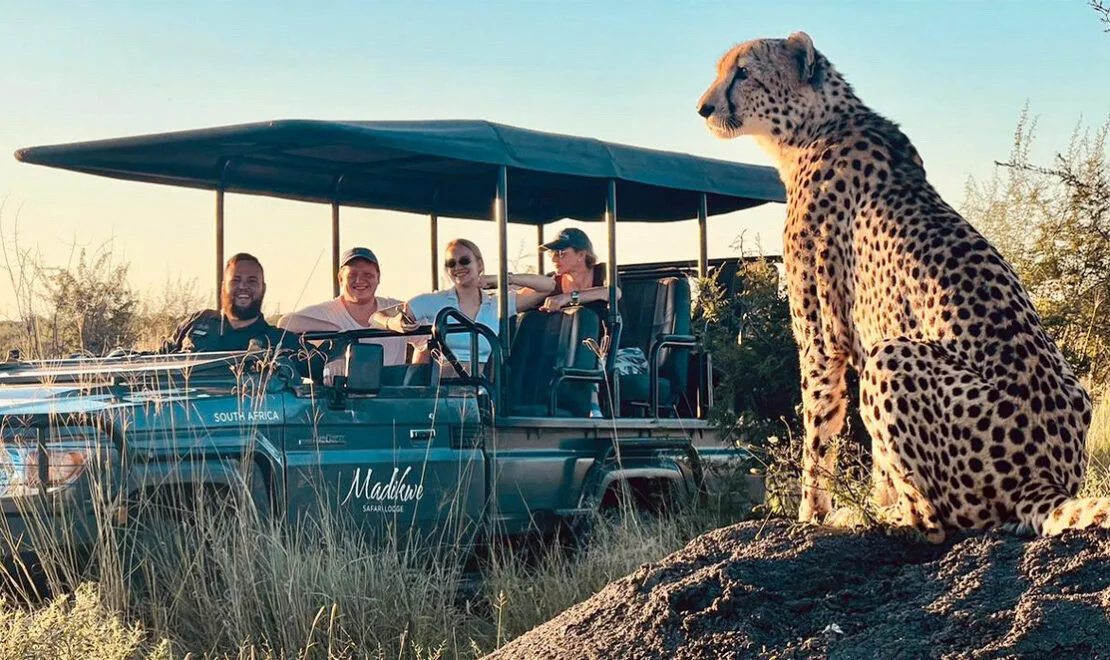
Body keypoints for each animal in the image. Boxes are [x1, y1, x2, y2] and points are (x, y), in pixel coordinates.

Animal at [695, 31, 1106, 542]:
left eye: (744, 72)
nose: (703, 108)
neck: (814, 127)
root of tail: (1046, 480)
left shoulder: (820, 341)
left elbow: (818, 431)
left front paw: (811, 513)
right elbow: (877, 458)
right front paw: (867, 499)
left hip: (892, 355)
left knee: (934, 522)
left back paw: (873, 519)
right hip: (1077, 393)